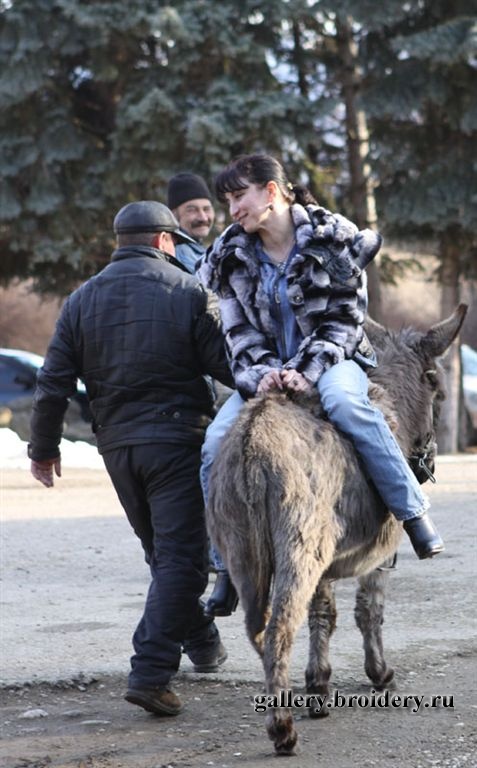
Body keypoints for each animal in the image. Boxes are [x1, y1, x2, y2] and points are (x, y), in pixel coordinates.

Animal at [206, 305, 467, 755]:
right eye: (437, 388)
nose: (428, 465)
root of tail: (252, 443)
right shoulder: (379, 554)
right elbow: (369, 610)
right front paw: (379, 673)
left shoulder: (326, 558)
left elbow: (323, 613)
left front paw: (318, 684)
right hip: (298, 549)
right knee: (279, 627)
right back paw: (283, 730)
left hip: (243, 551)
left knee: (259, 627)